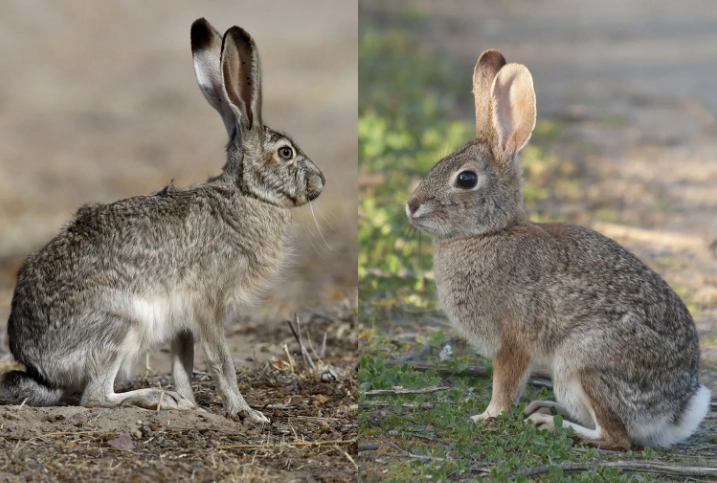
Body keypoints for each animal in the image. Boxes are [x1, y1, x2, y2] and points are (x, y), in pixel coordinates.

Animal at [0, 18, 325, 424]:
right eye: (285, 153)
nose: (320, 183)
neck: (246, 194)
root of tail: (39, 366)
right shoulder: (207, 304)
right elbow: (221, 362)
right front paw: (245, 413)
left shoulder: (183, 318)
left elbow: (183, 362)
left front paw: (190, 403)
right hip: (120, 325)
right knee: (95, 396)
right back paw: (157, 398)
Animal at [406, 49, 710, 449]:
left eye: (466, 179)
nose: (411, 206)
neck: (489, 233)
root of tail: (674, 412)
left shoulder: (513, 340)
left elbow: (505, 385)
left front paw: (486, 416)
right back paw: (544, 408)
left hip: (584, 360)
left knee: (616, 437)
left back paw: (550, 424)